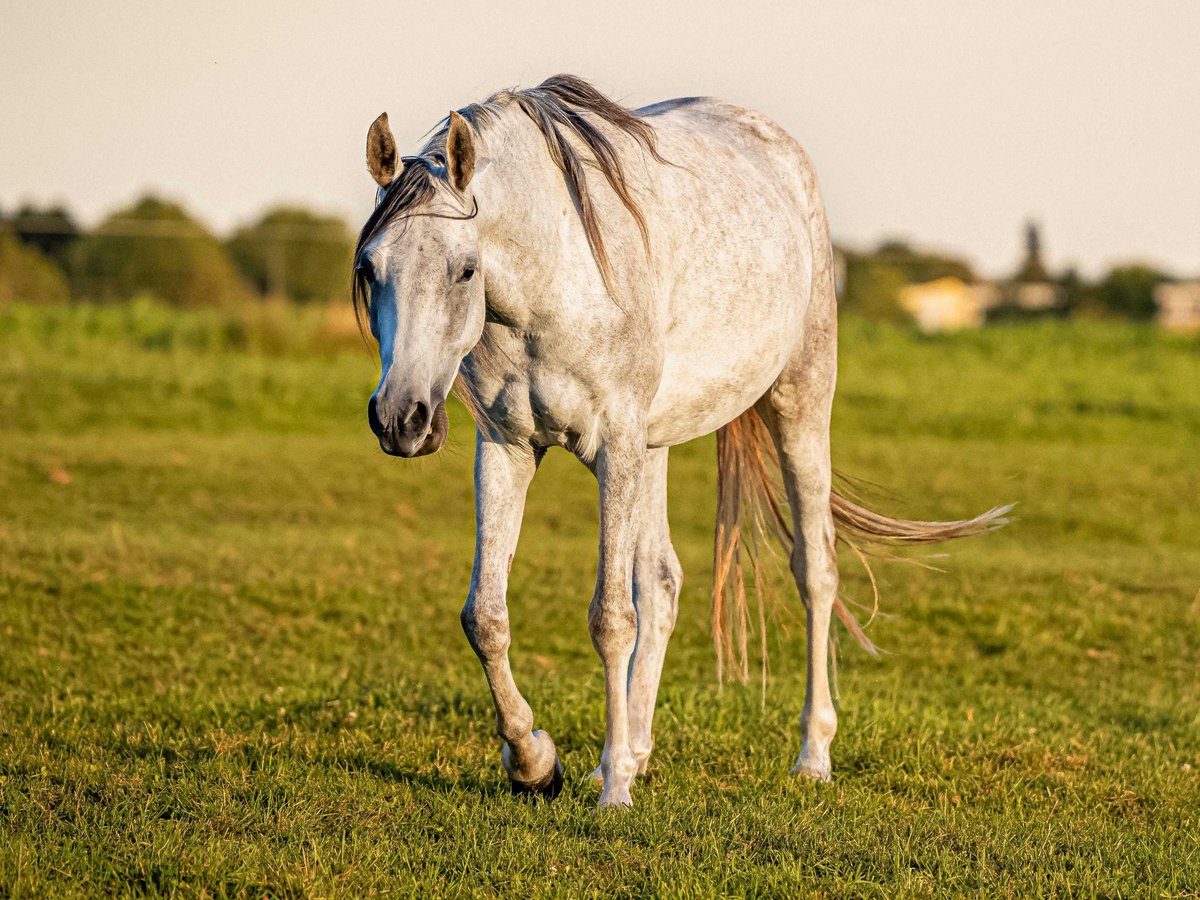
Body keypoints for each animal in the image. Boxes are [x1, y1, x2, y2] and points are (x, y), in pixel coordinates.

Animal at [351, 75, 1008, 809]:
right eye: (370, 268)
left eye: (465, 270)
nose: (400, 418)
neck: (553, 279)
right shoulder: (507, 449)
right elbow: (486, 617)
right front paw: (536, 762)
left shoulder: (614, 447)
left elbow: (610, 618)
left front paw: (612, 793)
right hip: (653, 448)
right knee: (662, 583)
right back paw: (631, 752)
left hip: (799, 405)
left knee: (815, 571)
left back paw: (810, 755)